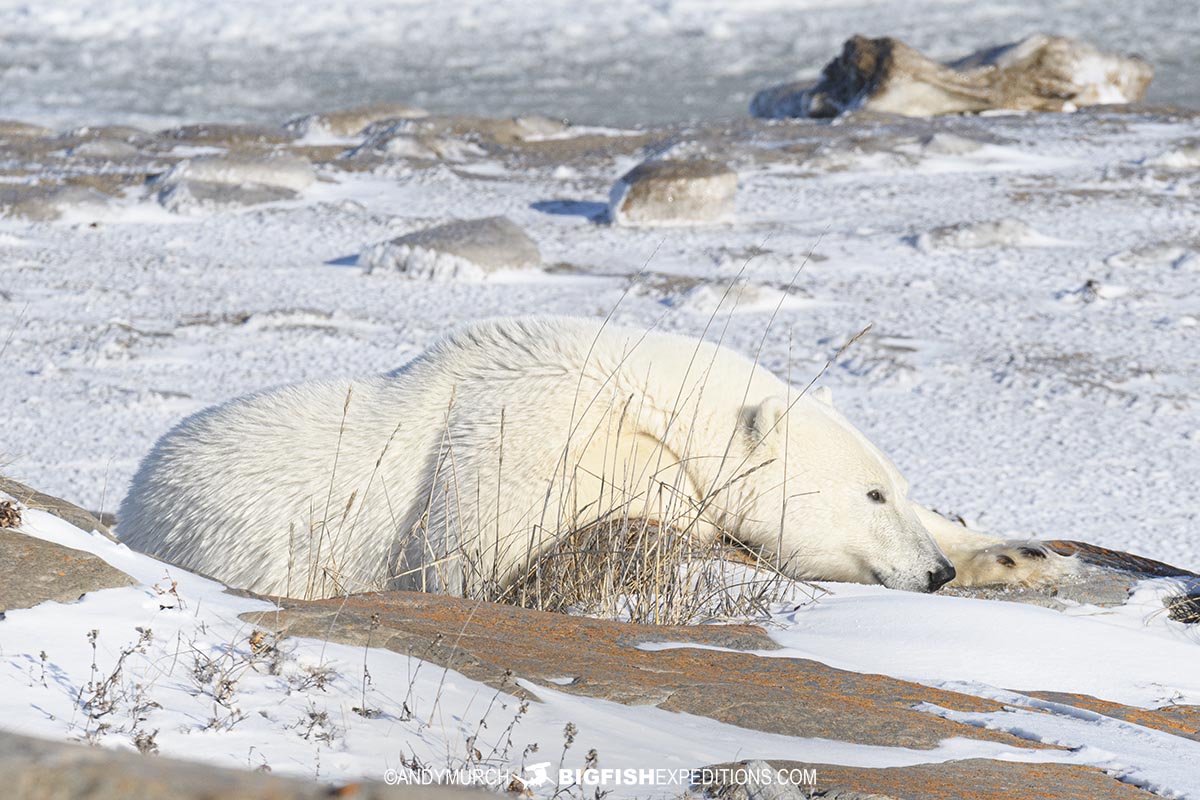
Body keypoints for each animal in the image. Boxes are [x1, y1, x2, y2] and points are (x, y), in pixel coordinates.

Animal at [117, 316, 1075, 597]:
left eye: (900, 491)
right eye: (870, 496)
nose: (932, 576)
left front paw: (1017, 552)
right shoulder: (521, 434)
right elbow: (470, 547)